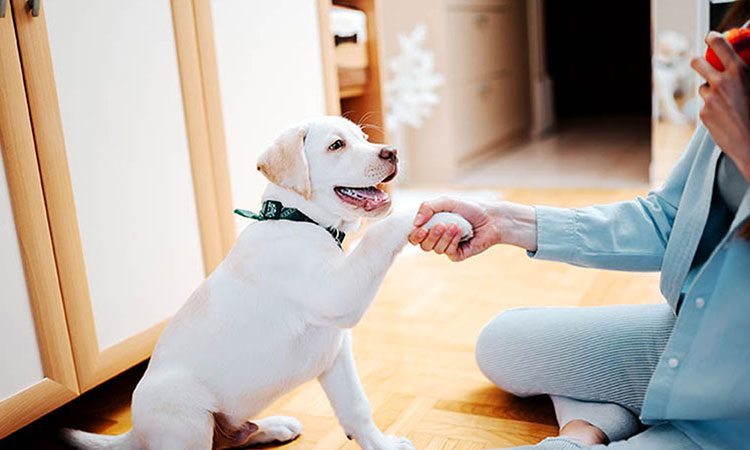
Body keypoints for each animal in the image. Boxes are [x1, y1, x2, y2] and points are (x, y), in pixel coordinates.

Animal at [64, 117, 450, 450]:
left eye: (365, 138)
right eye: (337, 145)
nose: (392, 152)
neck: (298, 220)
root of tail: (136, 434)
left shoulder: (335, 352)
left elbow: (356, 408)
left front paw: (382, 445)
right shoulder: (337, 295)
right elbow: (377, 235)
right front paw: (423, 213)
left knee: (232, 438)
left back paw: (273, 426)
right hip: (185, 413)